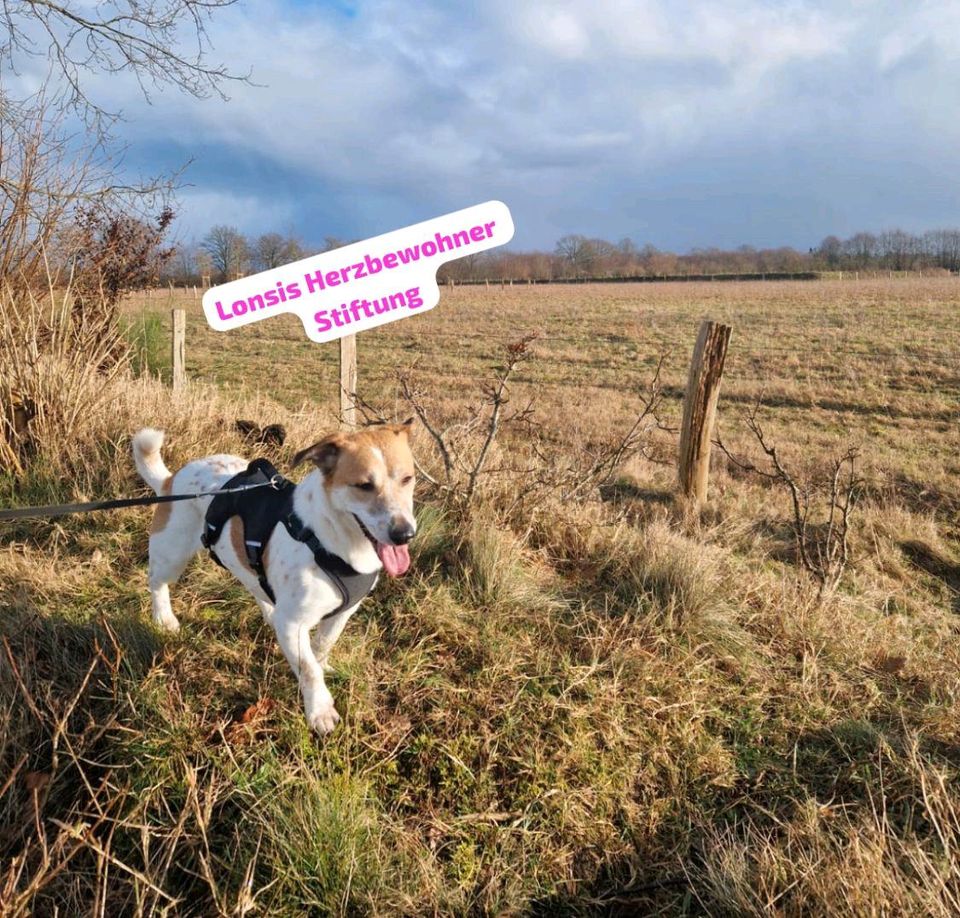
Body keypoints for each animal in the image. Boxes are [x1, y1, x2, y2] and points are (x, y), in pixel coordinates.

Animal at [133, 422, 418, 732]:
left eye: (408, 479)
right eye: (364, 486)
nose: (404, 534)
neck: (329, 539)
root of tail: (171, 479)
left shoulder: (343, 612)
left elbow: (321, 647)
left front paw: (321, 667)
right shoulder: (294, 623)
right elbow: (309, 669)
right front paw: (320, 711)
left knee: (257, 587)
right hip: (172, 554)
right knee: (156, 582)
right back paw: (163, 618)